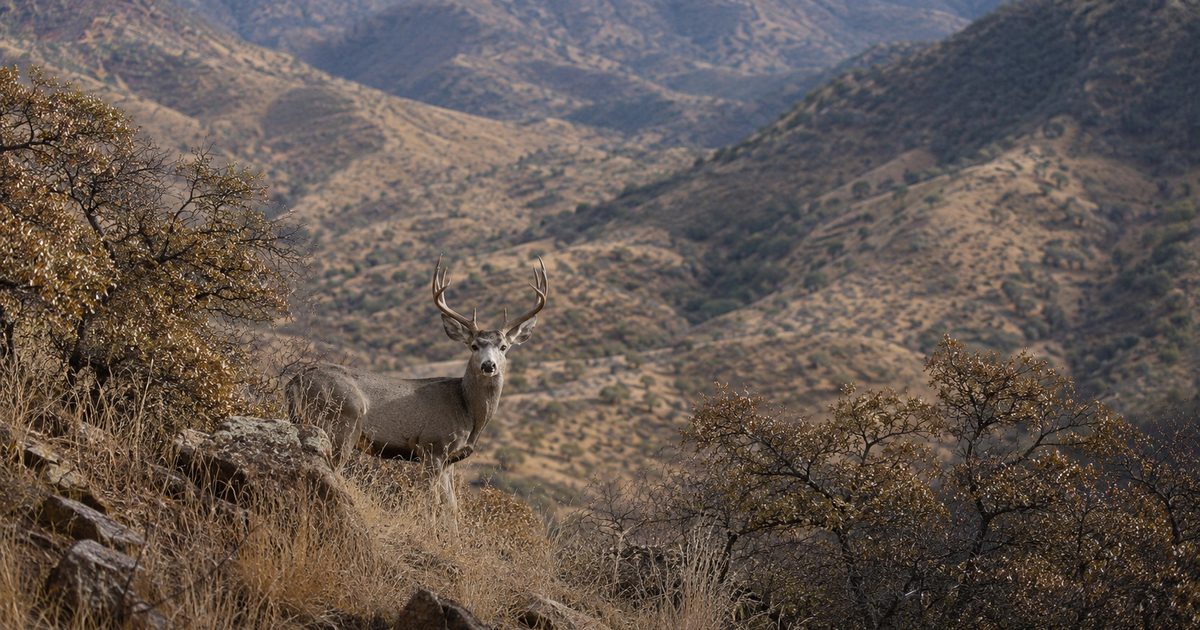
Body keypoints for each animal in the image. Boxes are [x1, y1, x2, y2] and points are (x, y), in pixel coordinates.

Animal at [286, 256, 547, 514]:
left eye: (504, 347)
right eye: (474, 346)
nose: (488, 365)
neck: (467, 410)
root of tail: (296, 380)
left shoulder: (449, 458)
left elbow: (451, 507)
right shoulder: (433, 446)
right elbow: (432, 502)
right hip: (341, 422)